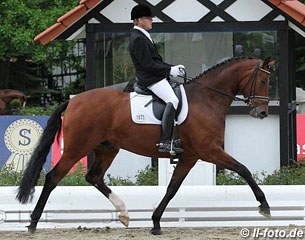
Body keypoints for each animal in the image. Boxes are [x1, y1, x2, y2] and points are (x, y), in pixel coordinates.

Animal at [16, 56, 274, 234]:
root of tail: (73, 101)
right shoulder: (209, 151)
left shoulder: (190, 156)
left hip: (107, 148)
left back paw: (124, 214)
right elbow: (243, 169)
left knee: (94, 177)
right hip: (76, 148)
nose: (262, 112)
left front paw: (156, 222)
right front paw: (264, 207)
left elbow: (172, 188)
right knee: (53, 177)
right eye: (263, 80)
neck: (207, 99)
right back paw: (33, 222)